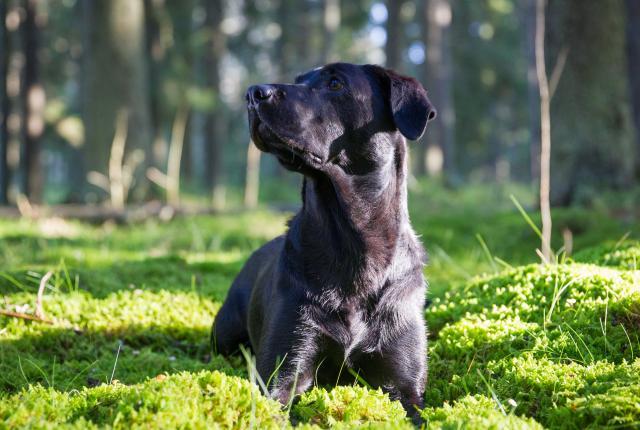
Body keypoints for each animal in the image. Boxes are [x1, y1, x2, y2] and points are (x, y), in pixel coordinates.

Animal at [212, 62, 438, 418]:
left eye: (335, 83)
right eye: (299, 80)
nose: (252, 92)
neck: (351, 241)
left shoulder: (404, 387)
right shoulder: (283, 371)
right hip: (226, 330)